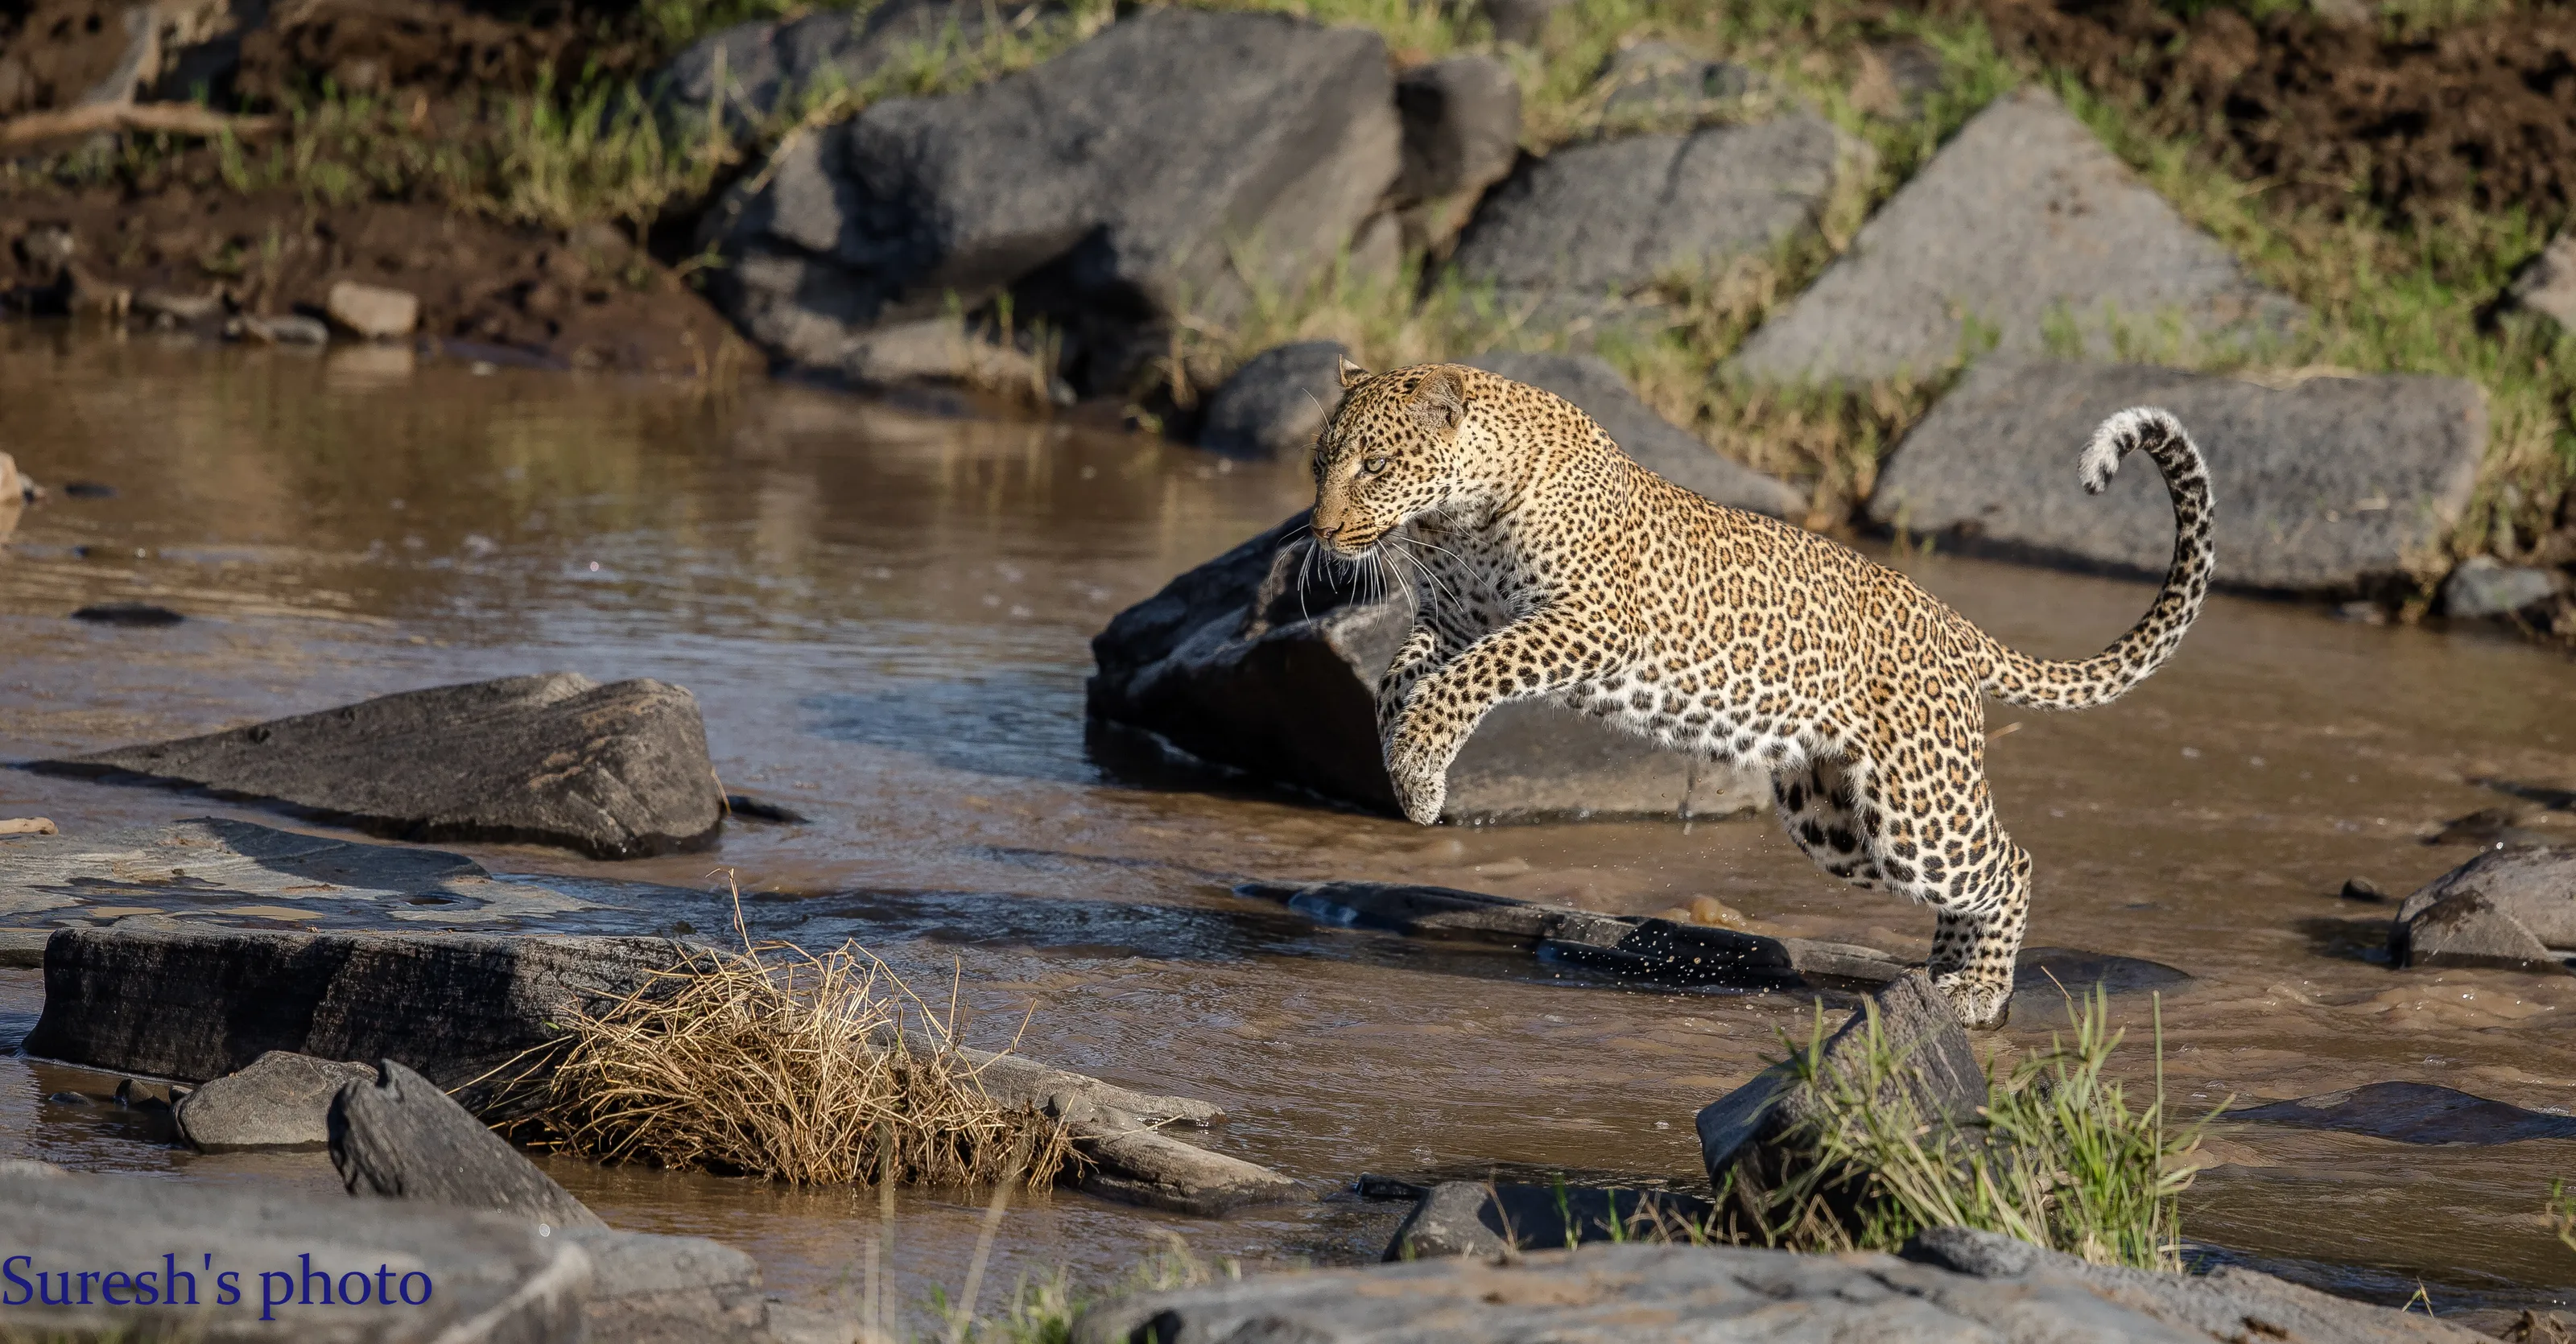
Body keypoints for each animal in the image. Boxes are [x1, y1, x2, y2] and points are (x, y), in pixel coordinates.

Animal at [1305, 358, 2214, 1028]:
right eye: (1319, 464)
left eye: (1374, 465)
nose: (1319, 529)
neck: (1456, 517)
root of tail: (1949, 620)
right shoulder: (1451, 621)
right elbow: (1396, 680)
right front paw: (1409, 772)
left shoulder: (1589, 623)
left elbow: (1471, 678)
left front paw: (1420, 769)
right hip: (1836, 823)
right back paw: (1941, 979)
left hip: (1918, 811)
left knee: (2009, 864)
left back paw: (1981, 992)